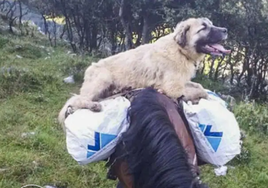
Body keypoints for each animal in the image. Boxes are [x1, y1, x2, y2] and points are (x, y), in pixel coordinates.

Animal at [58, 17, 230, 125]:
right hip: (102, 79)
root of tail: (90, 69)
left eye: (211, 24)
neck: (180, 50)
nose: (225, 30)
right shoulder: (173, 89)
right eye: (203, 27)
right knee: (75, 101)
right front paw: (202, 98)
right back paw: (93, 105)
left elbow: (199, 87)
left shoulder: (182, 82)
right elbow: (200, 91)